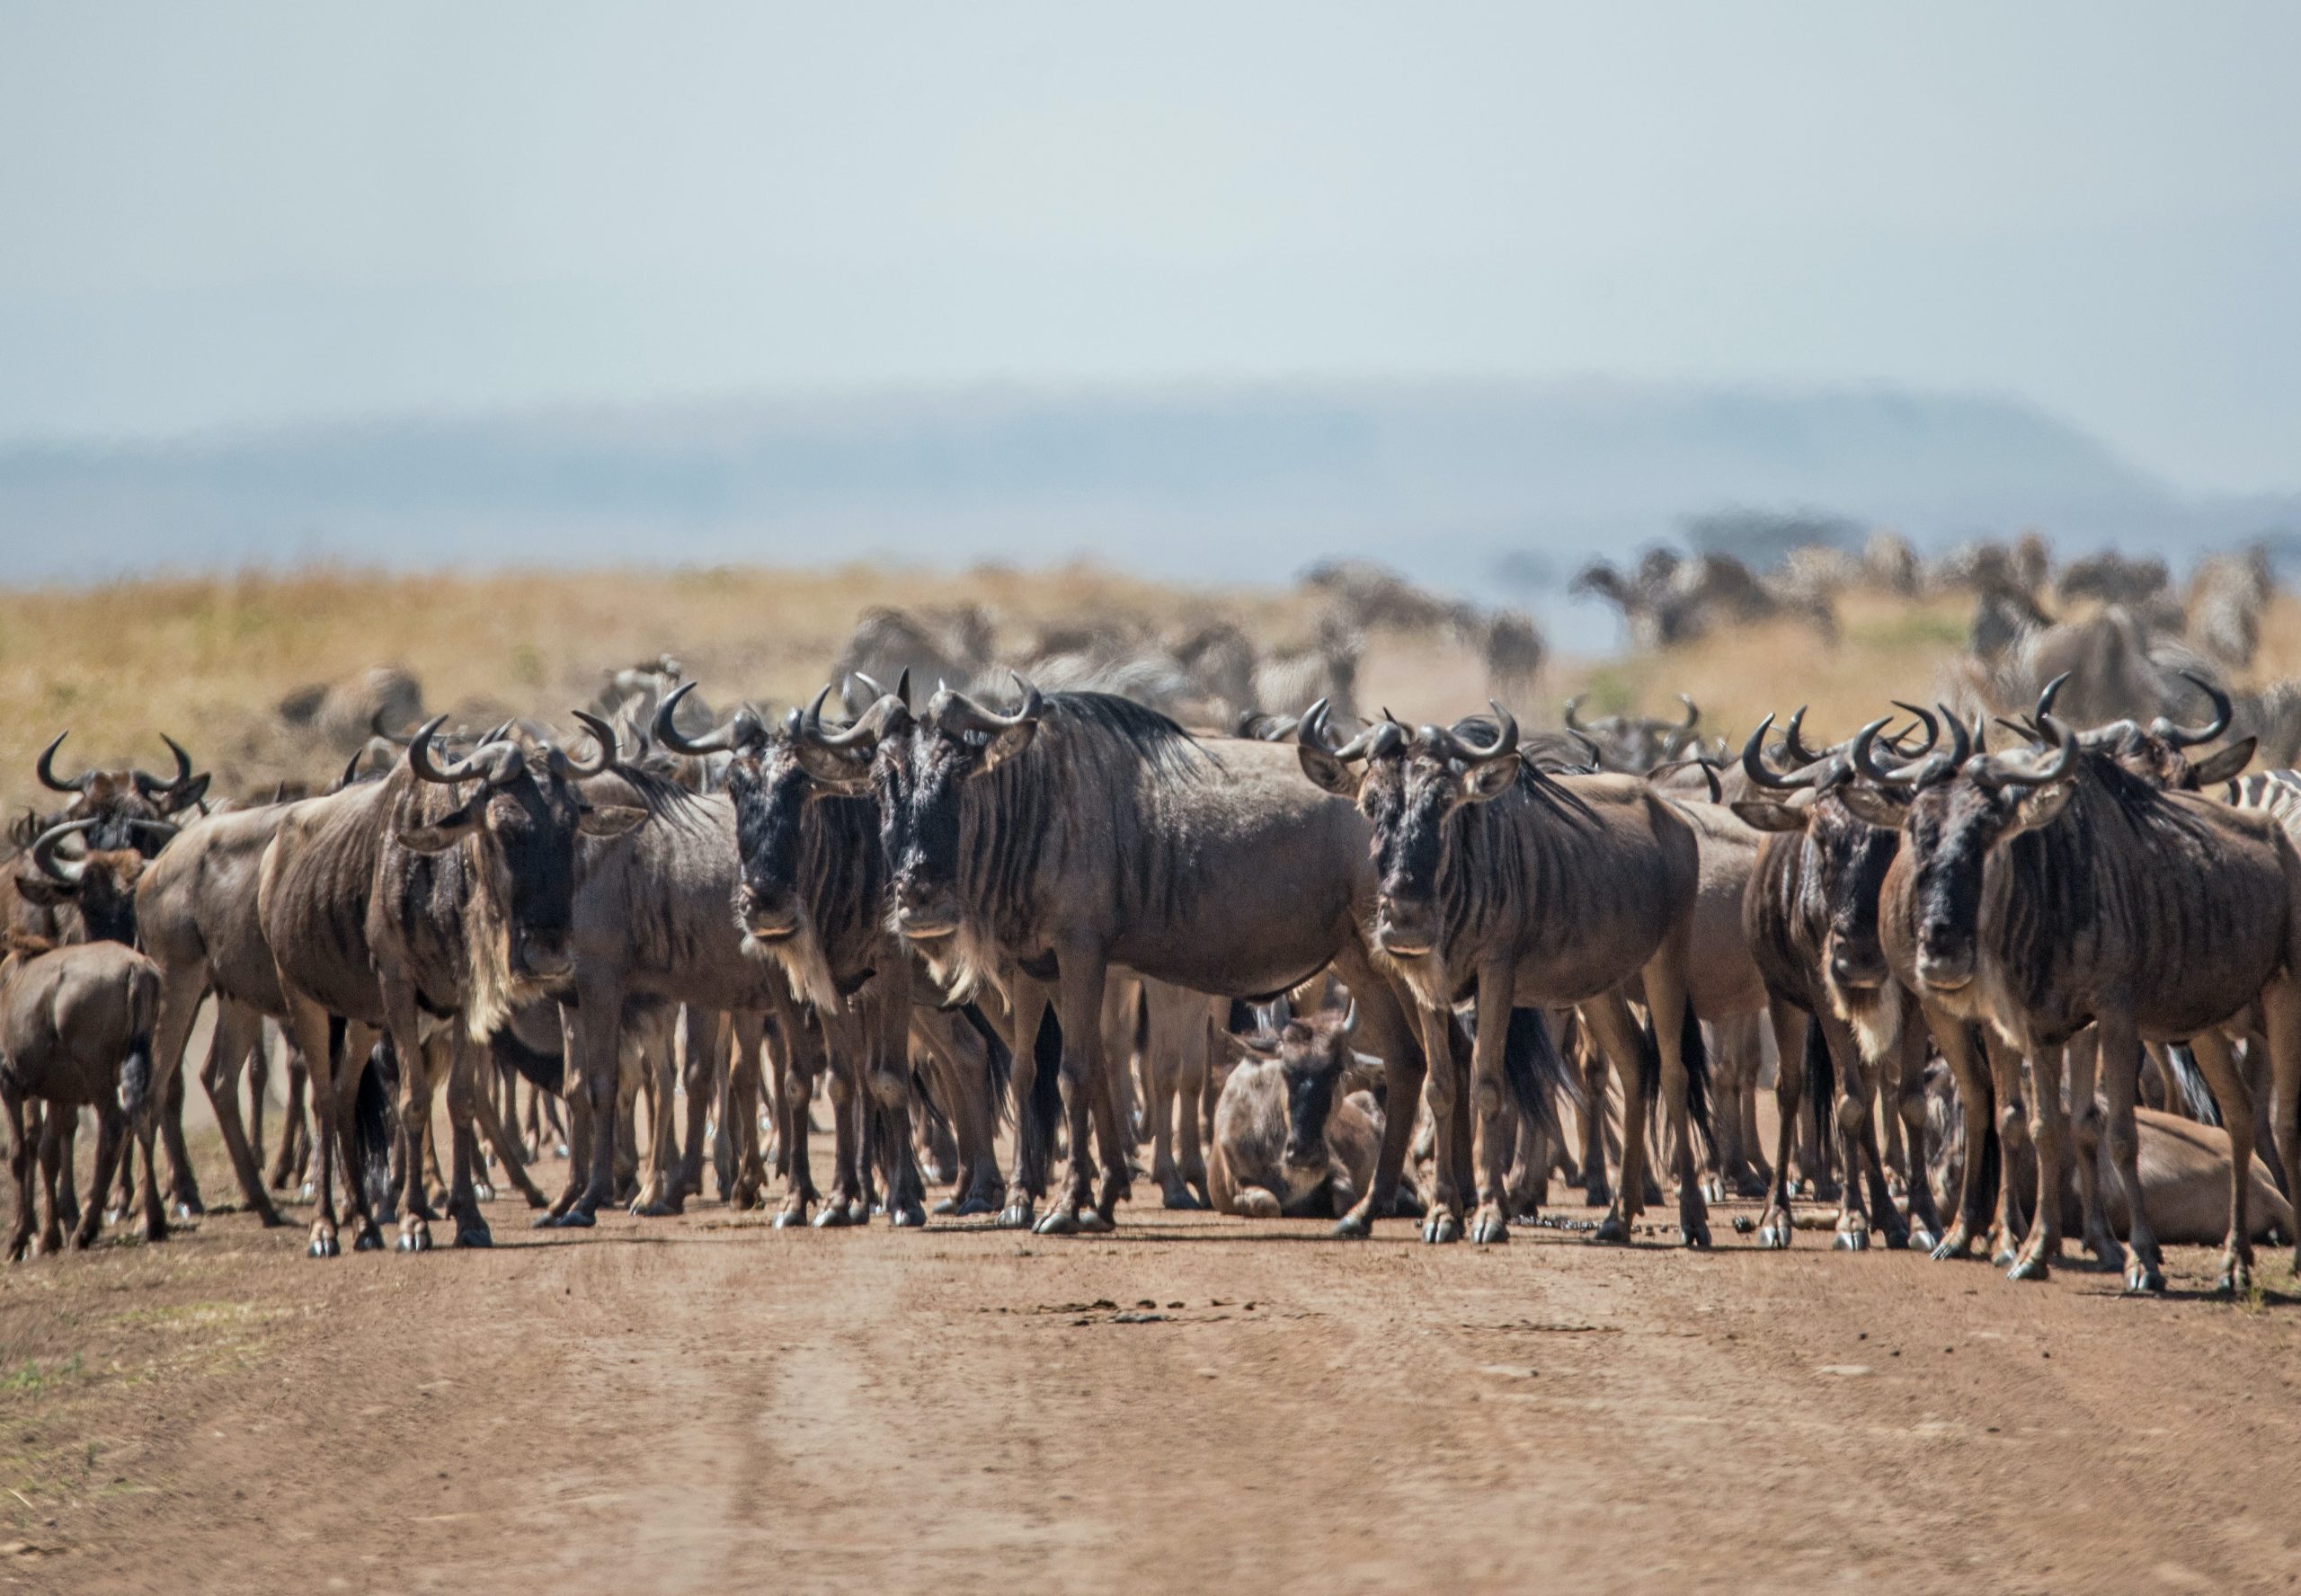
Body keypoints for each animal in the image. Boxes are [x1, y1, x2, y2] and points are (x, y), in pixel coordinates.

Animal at [1, 938, 161, 1260]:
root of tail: (136, 968)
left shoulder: (9, 1084)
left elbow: (19, 1153)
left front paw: (18, 1239)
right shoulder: (59, 1093)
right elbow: (49, 1152)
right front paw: (47, 1237)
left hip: (97, 1076)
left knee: (114, 1127)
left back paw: (85, 1231)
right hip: (138, 1063)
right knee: (143, 1117)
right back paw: (153, 1221)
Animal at [1205, 1011, 1417, 1223]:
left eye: (1339, 1071)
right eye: (1284, 1070)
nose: (1303, 1153)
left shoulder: (1336, 1169)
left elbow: (1345, 1200)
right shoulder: (1237, 1184)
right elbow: (1267, 1204)